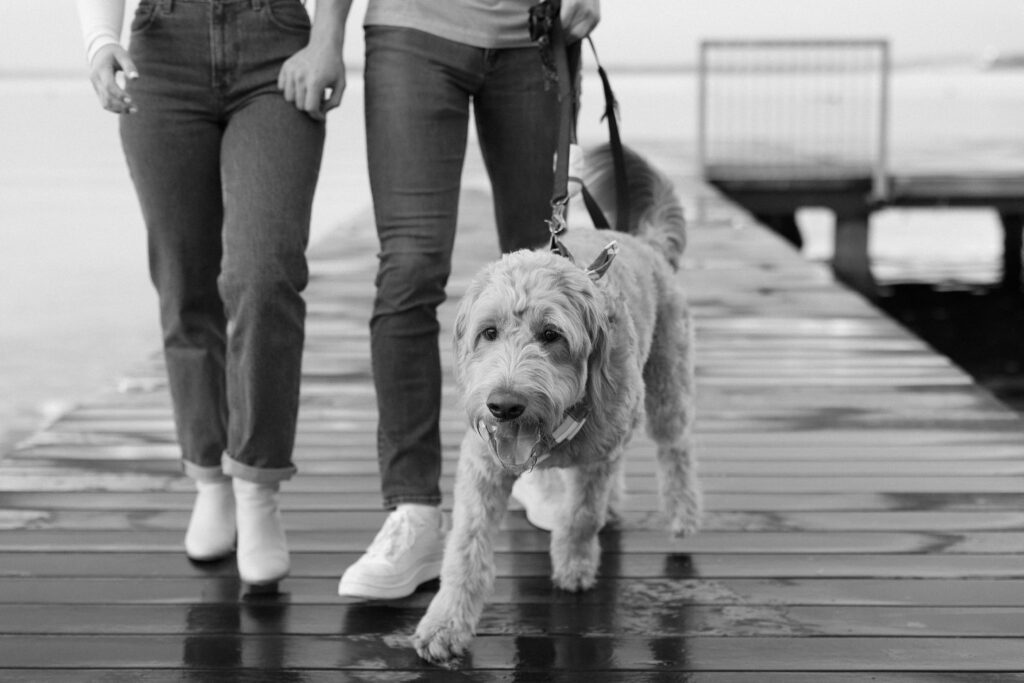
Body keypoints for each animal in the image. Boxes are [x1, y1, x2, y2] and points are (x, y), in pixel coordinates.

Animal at [411, 143, 700, 663]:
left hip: (668, 385)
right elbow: (466, 546)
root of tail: (642, 241)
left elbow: (582, 514)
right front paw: (445, 624)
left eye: (551, 335)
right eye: (489, 332)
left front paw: (574, 564)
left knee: (676, 447)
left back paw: (684, 515)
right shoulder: (482, 465)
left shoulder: (598, 453)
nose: (504, 406)